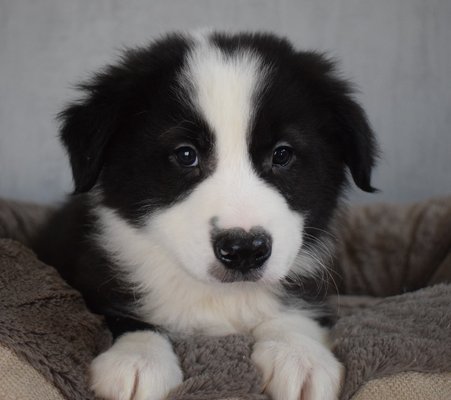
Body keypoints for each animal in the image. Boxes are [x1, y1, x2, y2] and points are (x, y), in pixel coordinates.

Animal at [35, 32, 380, 400]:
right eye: (186, 154)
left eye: (282, 154)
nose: (244, 250)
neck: (217, 296)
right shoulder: (89, 270)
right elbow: (118, 314)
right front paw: (138, 358)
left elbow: (298, 311)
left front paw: (300, 356)